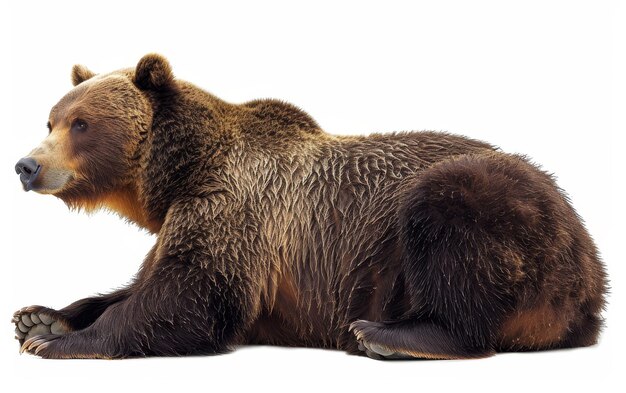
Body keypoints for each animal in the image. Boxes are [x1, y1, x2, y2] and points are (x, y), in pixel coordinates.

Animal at [13, 53, 604, 360]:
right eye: (51, 119)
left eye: (81, 123)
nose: (25, 165)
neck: (178, 175)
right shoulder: (186, 217)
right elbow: (140, 282)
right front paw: (39, 317)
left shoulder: (233, 208)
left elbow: (193, 295)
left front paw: (60, 342)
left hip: (497, 211)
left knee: (450, 225)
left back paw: (387, 335)